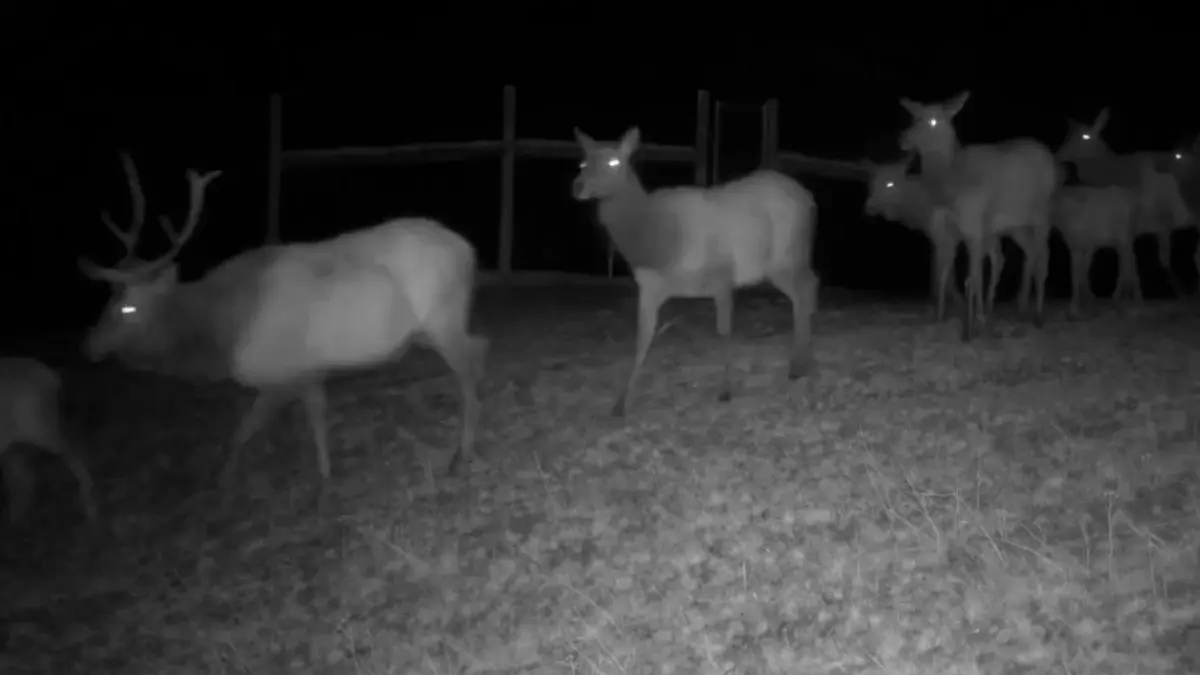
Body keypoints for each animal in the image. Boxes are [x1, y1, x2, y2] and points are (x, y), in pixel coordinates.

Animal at [0, 355, 99, 523]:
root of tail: (50, 375)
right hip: (18, 441)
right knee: (24, 478)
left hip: (40, 428)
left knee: (74, 451)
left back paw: (89, 508)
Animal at [79, 153, 484, 487]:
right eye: (107, 301)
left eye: (127, 309)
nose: (88, 347)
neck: (220, 332)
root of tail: (467, 248)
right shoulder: (305, 371)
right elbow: (303, 420)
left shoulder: (283, 370)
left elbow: (246, 431)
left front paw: (229, 485)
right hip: (430, 330)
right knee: (481, 348)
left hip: (443, 316)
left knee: (468, 366)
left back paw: (463, 454)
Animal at [571, 123, 816, 413]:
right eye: (583, 163)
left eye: (613, 161)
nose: (578, 186)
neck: (656, 243)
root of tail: (809, 199)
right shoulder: (649, 286)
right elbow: (642, 339)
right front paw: (620, 403)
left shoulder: (722, 274)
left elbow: (724, 331)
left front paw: (725, 390)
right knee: (807, 288)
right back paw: (800, 363)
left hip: (787, 255)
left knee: (806, 289)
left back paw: (800, 365)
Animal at [864, 158, 1041, 319]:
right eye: (873, 183)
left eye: (890, 183)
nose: (868, 206)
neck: (921, 211)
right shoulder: (955, 238)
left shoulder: (948, 236)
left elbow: (949, 271)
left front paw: (946, 309)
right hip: (1015, 231)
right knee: (1017, 254)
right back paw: (1005, 305)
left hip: (1015, 228)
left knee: (1025, 252)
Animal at [1060, 108, 1190, 294]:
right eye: (1069, 135)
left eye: (1085, 136)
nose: (1058, 154)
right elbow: (1128, 263)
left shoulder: (1139, 226)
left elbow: (1129, 263)